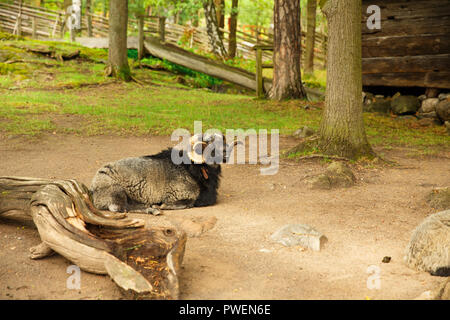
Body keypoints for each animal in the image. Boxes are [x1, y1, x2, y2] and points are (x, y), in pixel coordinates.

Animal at [90, 132, 239, 215]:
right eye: (209, 144)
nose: (226, 154)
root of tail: (92, 188)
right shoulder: (179, 195)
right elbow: (187, 203)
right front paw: (160, 205)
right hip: (115, 191)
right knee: (119, 207)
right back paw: (152, 210)